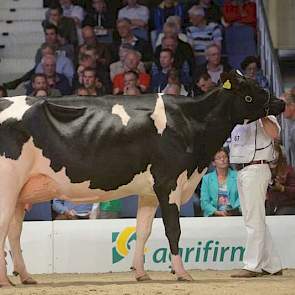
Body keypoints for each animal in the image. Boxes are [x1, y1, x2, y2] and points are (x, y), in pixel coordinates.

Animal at [0, 70, 286, 286]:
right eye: (250, 90)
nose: (281, 102)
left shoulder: (149, 191)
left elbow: (143, 230)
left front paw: (141, 273)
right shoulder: (169, 182)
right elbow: (173, 229)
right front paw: (182, 273)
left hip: (20, 193)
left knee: (14, 232)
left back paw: (25, 277)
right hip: (8, 186)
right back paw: (6, 280)